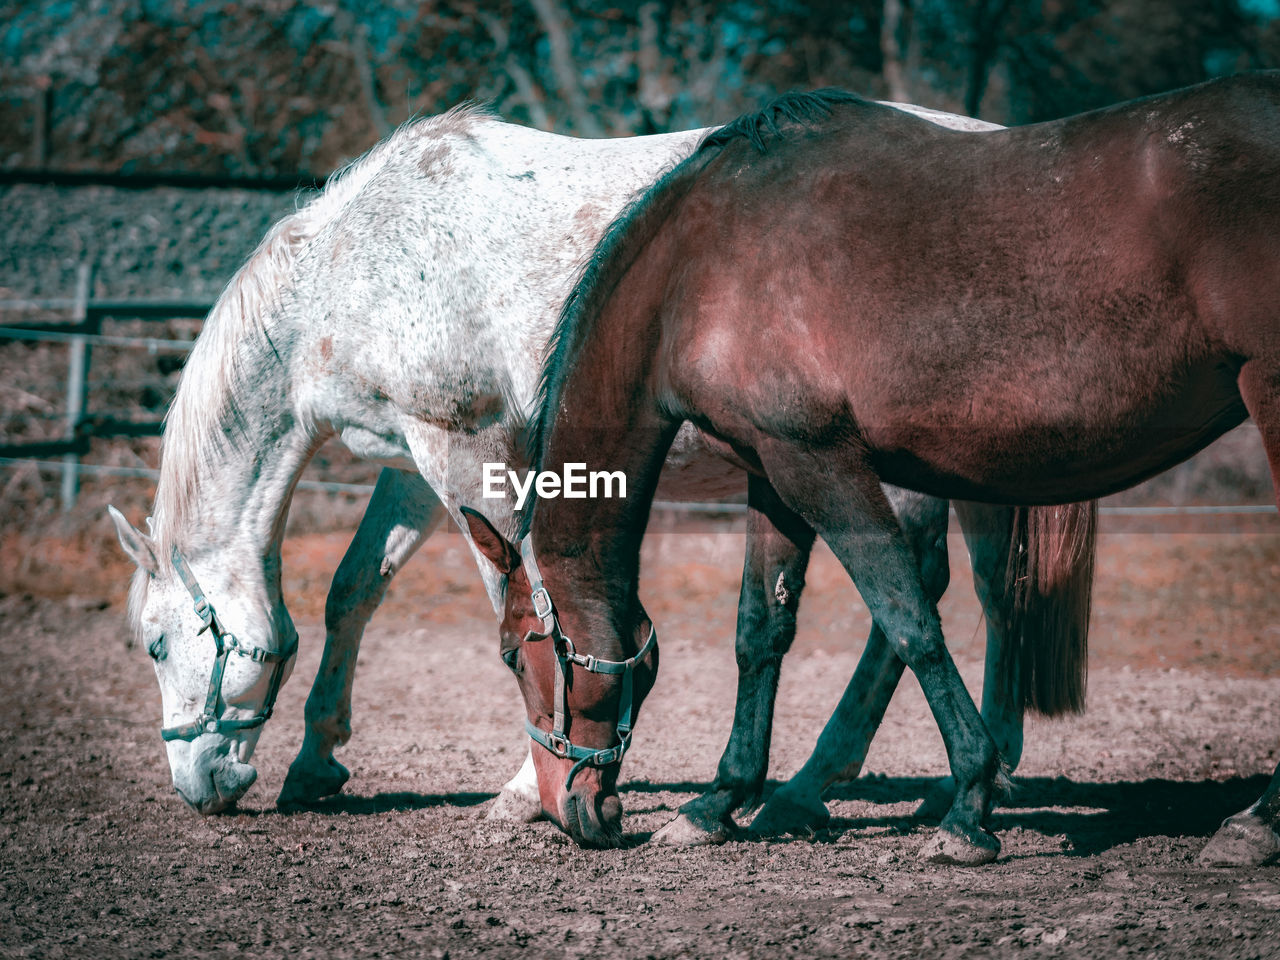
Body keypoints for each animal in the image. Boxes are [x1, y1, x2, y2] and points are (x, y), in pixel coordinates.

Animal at [107, 96, 1049, 834]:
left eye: (155, 644)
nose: (197, 787)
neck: (351, 273)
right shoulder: (412, 464)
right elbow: (354, 592)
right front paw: (316, 762)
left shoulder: (469, 449)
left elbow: (518, 597)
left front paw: (528, 789)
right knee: (984, 595)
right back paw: (958, 775)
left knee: (932, 595)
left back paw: (842, 785)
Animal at [471, 77, 1280, 870]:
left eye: (515, 655)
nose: (571, 809)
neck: (699, 268)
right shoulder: (771, 475)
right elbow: (760, 631)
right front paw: (717, 803)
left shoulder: (820, 464)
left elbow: (909, 617)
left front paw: (969, 806)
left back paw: (1254, 824)